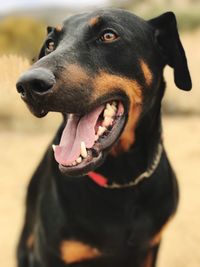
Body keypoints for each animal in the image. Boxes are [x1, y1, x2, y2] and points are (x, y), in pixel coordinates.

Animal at [15, 7, 191, 267]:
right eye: (50, 44)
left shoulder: (149, 248)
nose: (27, 85)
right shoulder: (47, 254)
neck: (122, 179)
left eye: (108, 35)